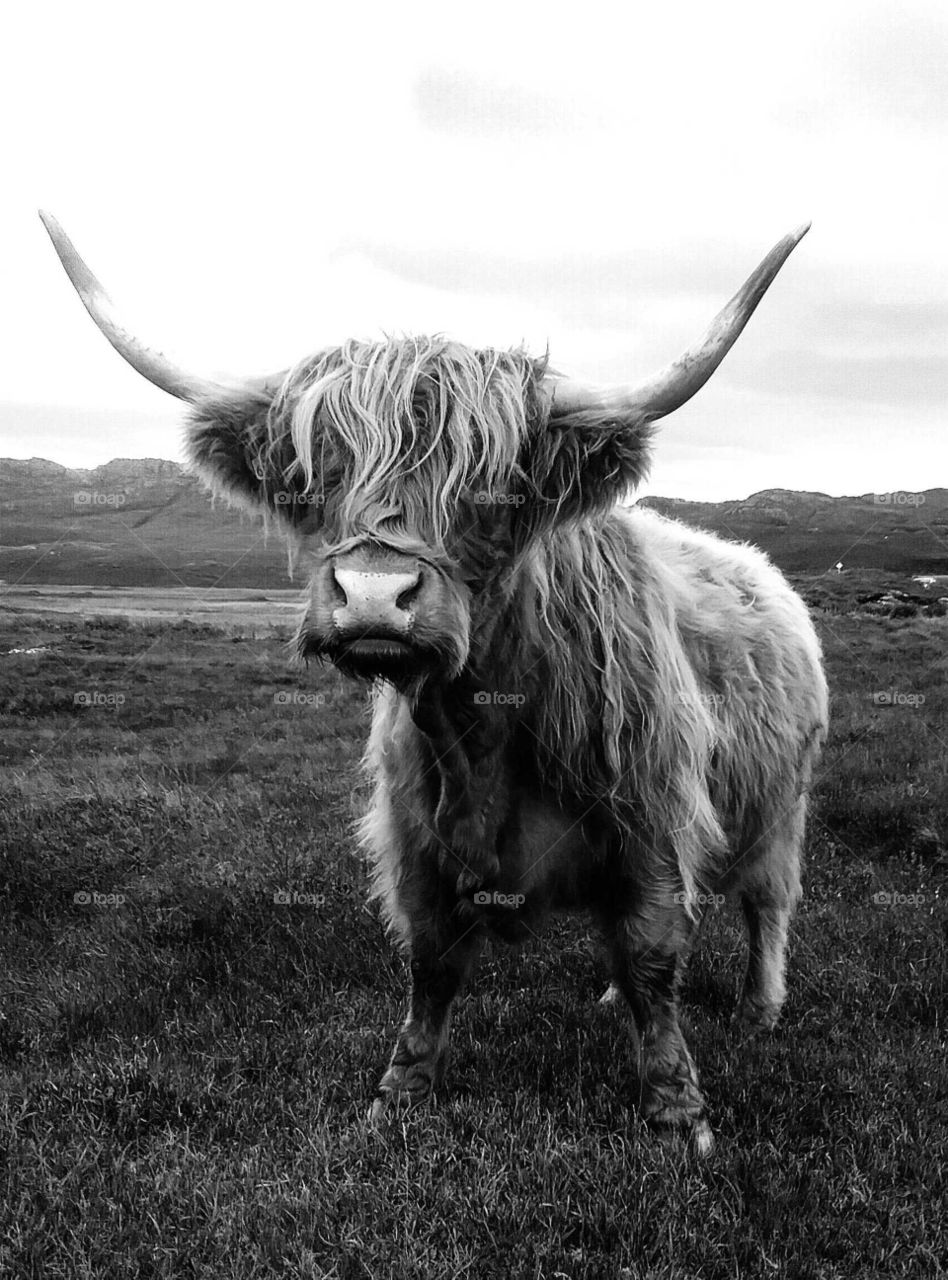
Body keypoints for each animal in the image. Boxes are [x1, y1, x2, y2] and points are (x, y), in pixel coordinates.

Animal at [41, 212, 828, 1154]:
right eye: (316, 476)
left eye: (492, 486)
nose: (375, 596)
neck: (484, 731)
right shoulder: (414, 833)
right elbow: (430, 964)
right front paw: (399, 1097)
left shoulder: (650, 821)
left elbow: (653, 953)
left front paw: (678, 1114)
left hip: (782, 804)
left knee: (766, 904)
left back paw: (762, 1005)